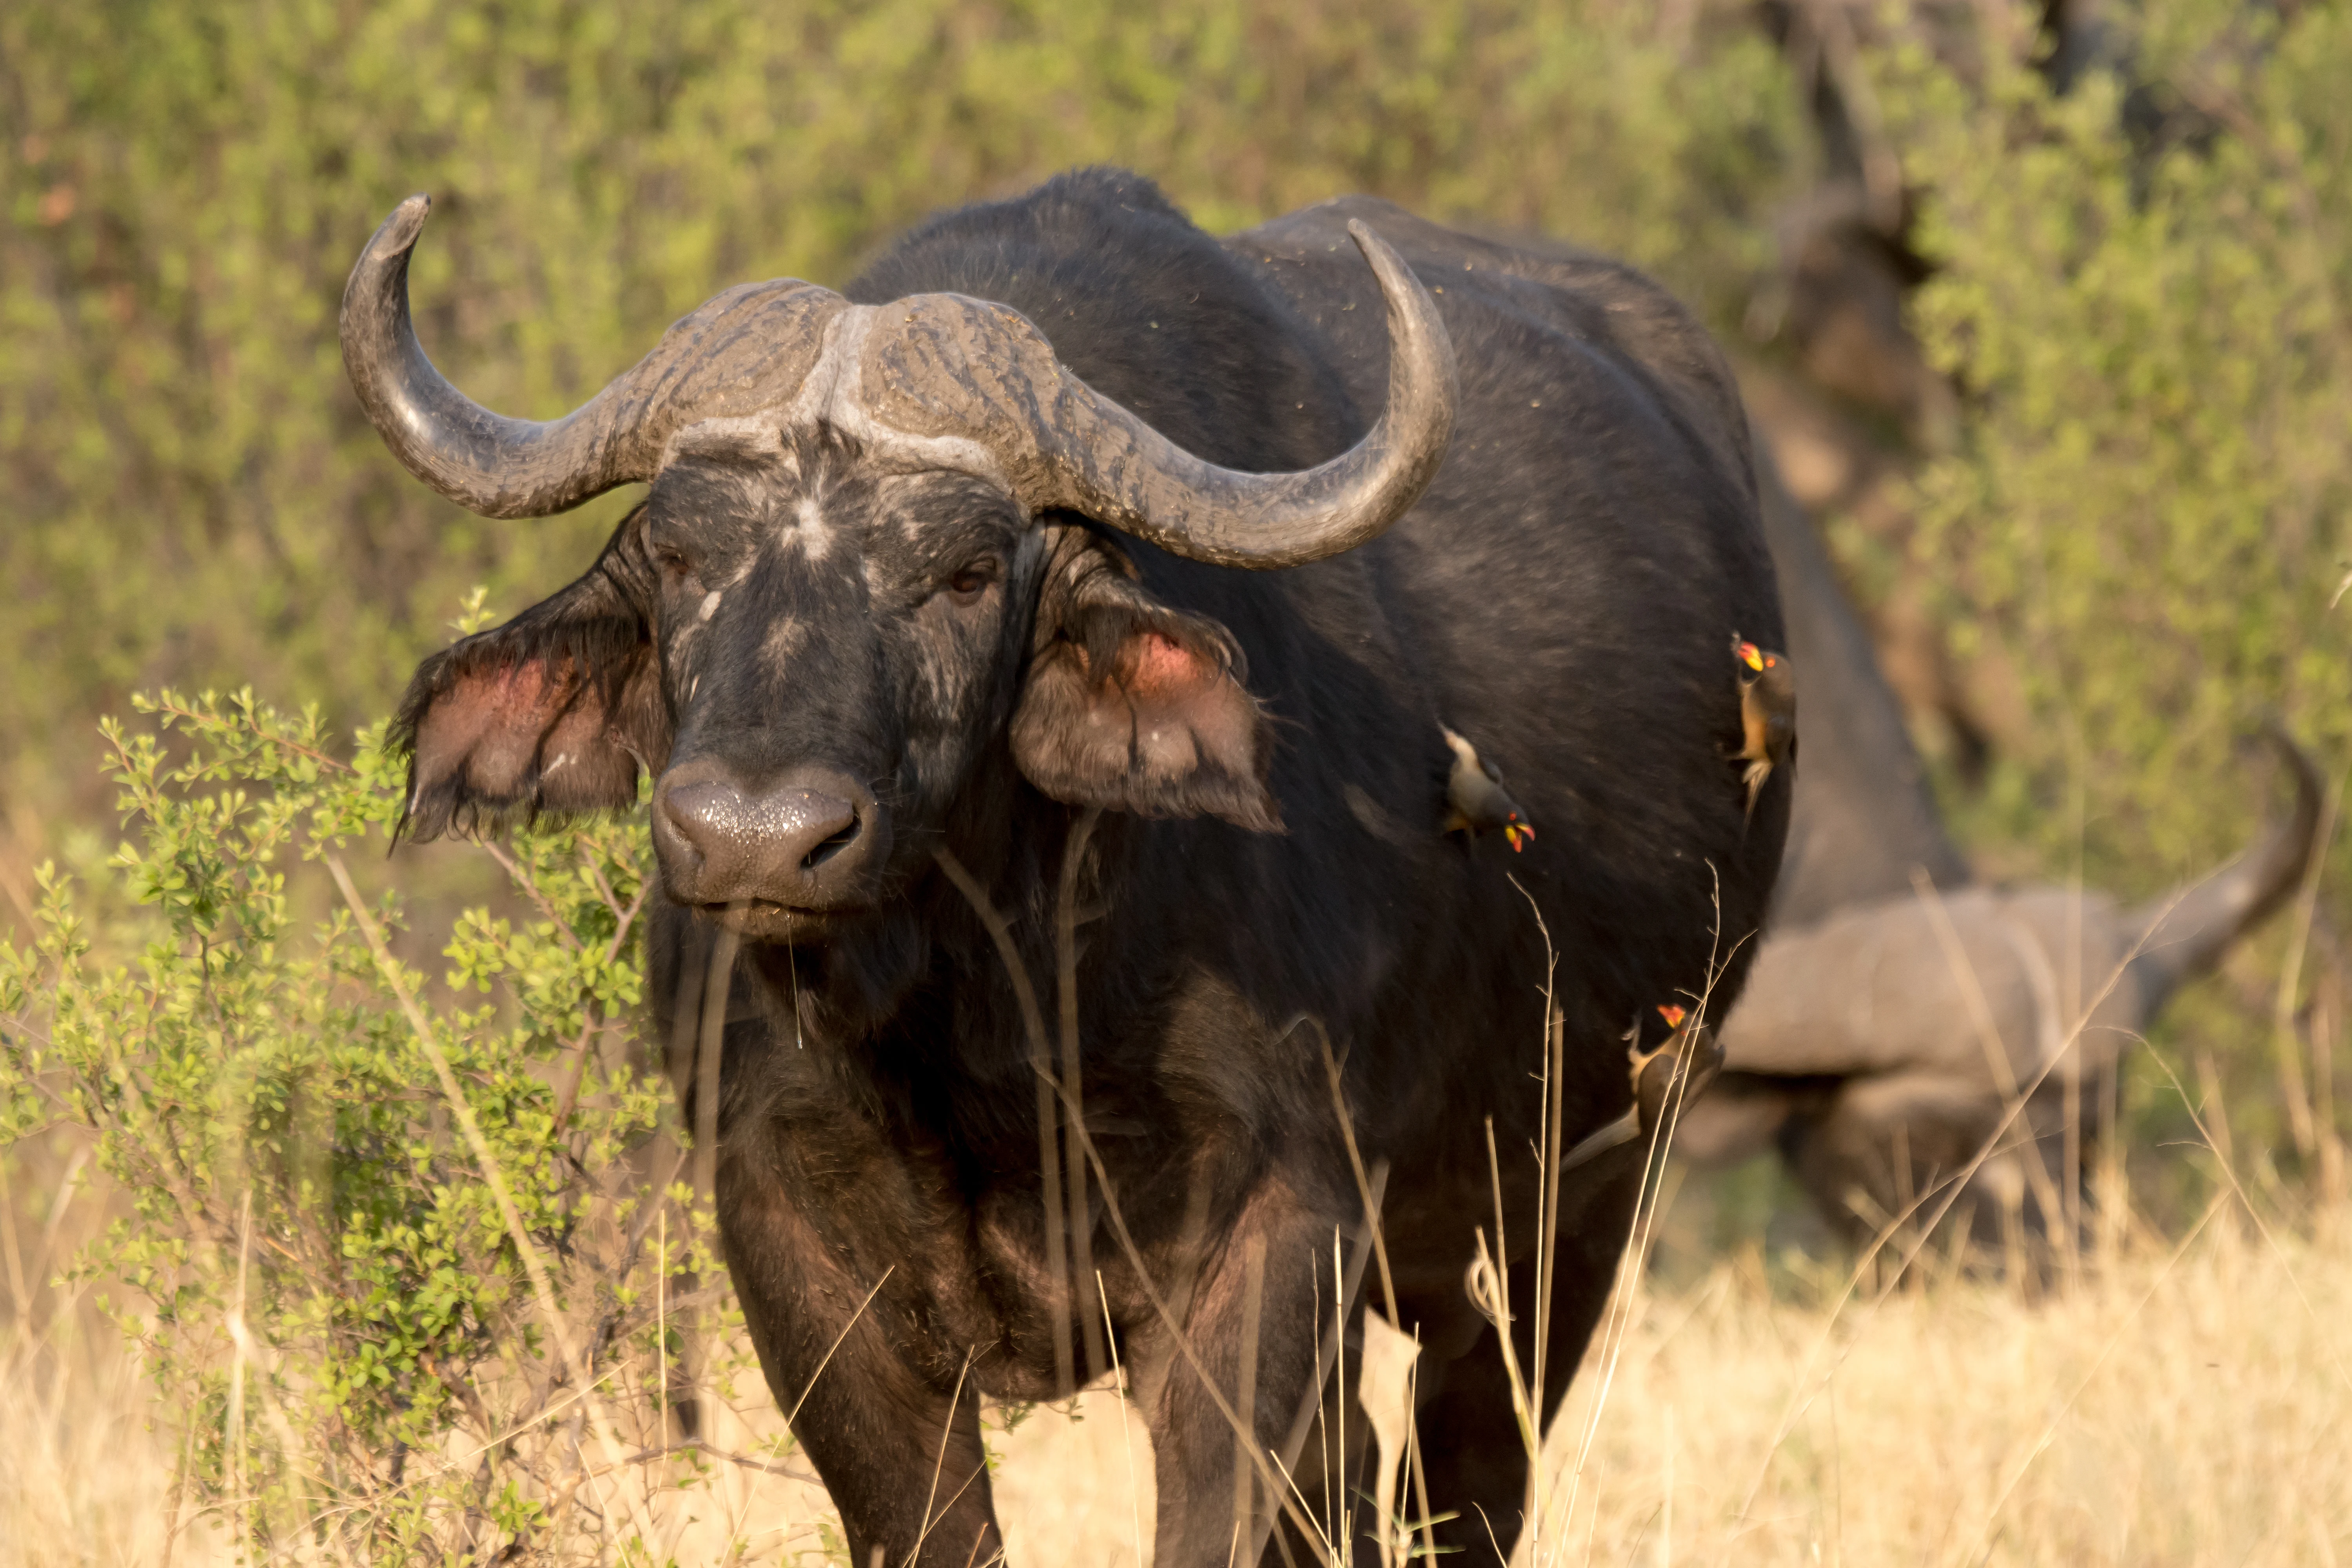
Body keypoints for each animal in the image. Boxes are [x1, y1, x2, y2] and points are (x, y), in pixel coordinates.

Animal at [343, 169, 1783, 1564]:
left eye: (970, 573)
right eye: (683, 557)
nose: (756, 835)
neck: (985, 1006)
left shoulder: (1271, 1239)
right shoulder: (787, 1248)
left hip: (1569, 1208)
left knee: (1463, 1480)